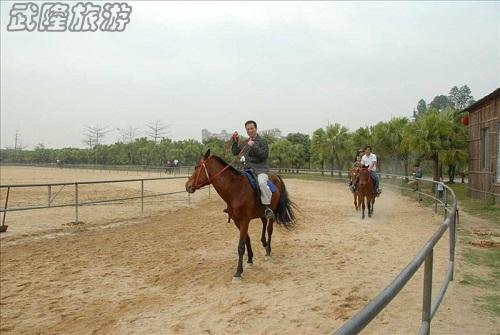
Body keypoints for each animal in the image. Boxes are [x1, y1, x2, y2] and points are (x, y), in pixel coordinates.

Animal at [185, 150, 296, 284]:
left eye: (197, 167)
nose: (187, 185)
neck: (235, 189)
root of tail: (276, 176)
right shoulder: (237, 221)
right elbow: (246, 240)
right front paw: (250, 260)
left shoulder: (244, 221)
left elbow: (240, 247)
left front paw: (238, 272)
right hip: (261, 212)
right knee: (264, 223)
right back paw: (264, 243)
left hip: (272, 213)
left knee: (269, 229)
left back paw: (268, 250)